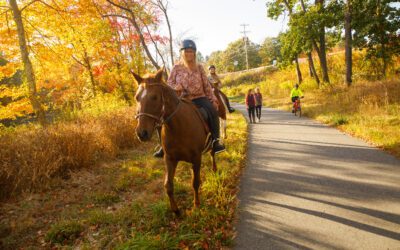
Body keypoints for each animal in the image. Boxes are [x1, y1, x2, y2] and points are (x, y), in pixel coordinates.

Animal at [133, 68, 217, 215]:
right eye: (137, 97)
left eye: (154, 97)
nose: (141, 133)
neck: (179, 126)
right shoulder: (170, 158)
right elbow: (168, 185)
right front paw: (176, 210)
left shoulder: (197, 158)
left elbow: (195, 182)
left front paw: (196, 205)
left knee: (213, 153)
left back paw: (214, 168)